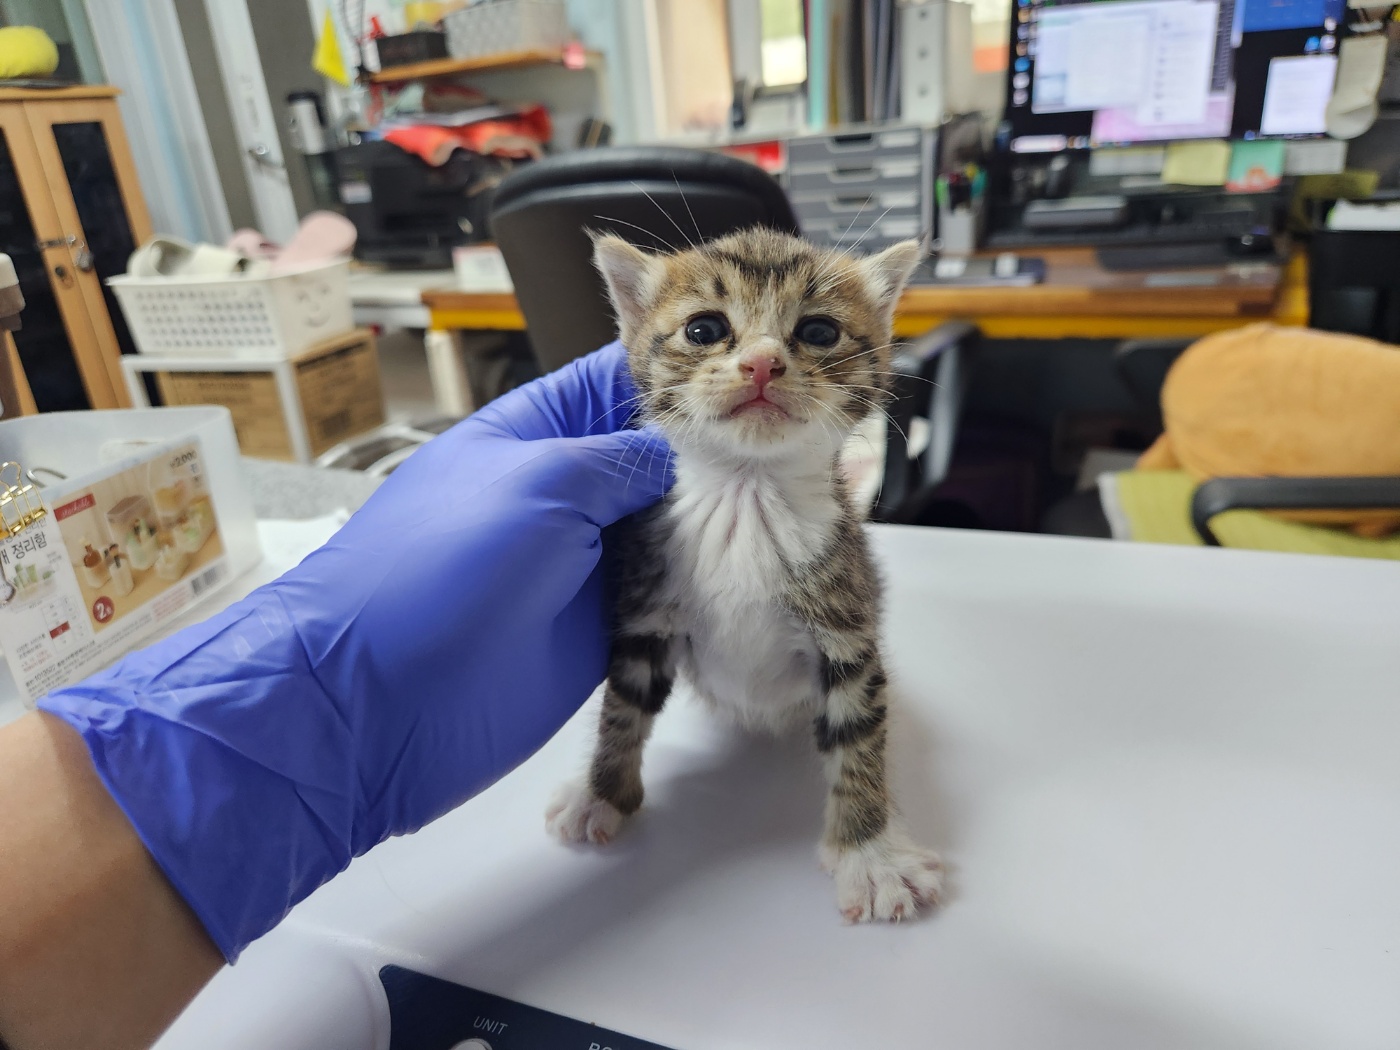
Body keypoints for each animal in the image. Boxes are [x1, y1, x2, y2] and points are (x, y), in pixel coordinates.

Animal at [546, 228, 940, 918]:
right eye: (704, 329)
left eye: (818, 331)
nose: (761, 363)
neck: (746, 496)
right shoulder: (645, 615)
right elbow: (623, 708)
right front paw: (601, 793)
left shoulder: (847, 628)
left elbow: (859, 735)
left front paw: (871, 854)